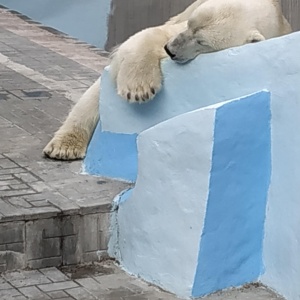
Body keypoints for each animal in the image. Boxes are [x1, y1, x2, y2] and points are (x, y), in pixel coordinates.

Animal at [43, 0, 292, 159]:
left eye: (202, 42)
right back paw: (64, 146)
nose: (170, 50)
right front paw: (139, 90)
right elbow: (150, 35)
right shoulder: (181, 22)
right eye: (191, 26)